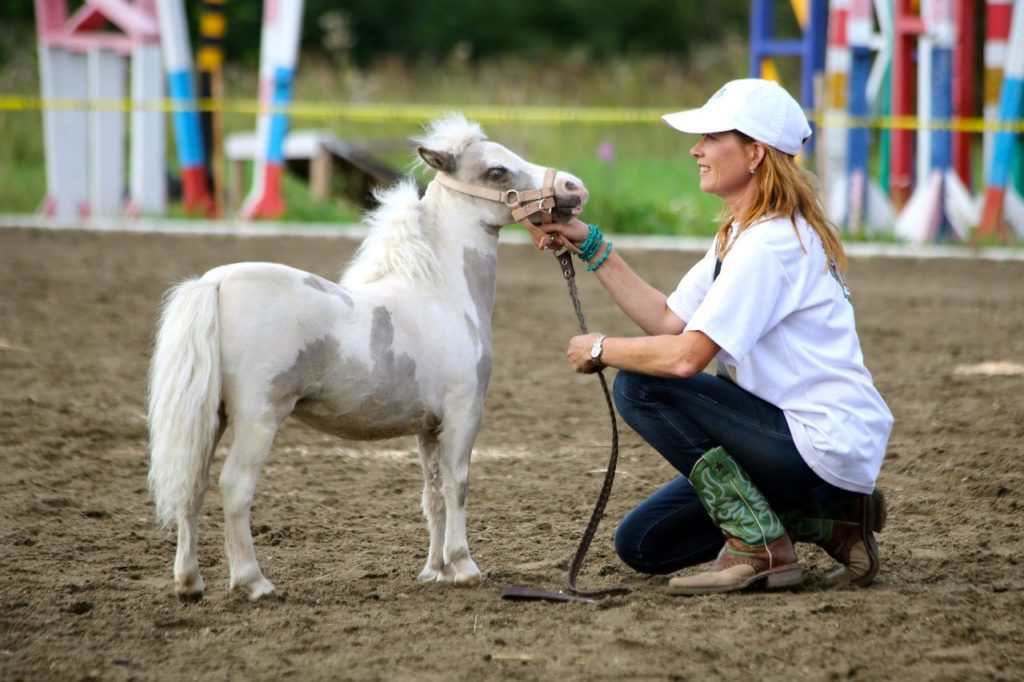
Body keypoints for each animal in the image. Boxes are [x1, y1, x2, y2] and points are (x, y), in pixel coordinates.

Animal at [148, 114, 589, 598]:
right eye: (496, 171)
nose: (574, 187)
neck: (442, 292)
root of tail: (216, 282)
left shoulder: (428, 428)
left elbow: (432, 495)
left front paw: (435, 570)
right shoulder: (463, 414)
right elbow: (457, 486)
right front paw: (464, 566)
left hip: (213, 415)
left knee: (192, 484)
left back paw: (189, 581)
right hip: (257, 418)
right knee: (234, 488)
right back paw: (254, 581)